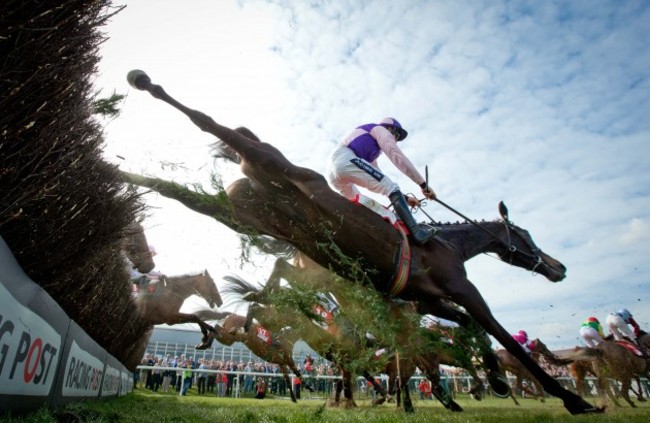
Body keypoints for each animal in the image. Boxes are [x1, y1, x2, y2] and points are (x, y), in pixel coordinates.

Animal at [123, 68, 604, 414]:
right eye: (525, 234)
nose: (559, 267)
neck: (450, 244)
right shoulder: (462, 288)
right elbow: (498, 332)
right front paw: (573, 400)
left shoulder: (428, 298)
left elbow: (470, 329)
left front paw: (498, 381)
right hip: (269, 163)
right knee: (210, 122)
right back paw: (145, 83)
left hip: (240, 214)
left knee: (175, 190)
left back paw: (125, 175)